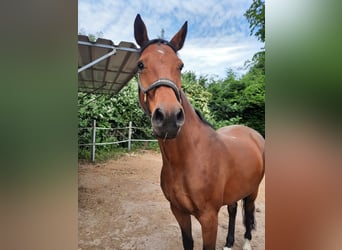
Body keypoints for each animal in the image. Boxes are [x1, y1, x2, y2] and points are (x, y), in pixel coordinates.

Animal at [134, 14, 264, 250]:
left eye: (180, 66)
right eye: (141, 64)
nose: (169, 117)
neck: (188, 159)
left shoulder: (208, 218)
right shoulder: (179, 212)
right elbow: (188, 242)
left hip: (253, 190)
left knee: (248, 212)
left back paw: (247, 243)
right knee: (233, 210)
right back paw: (229, 243)